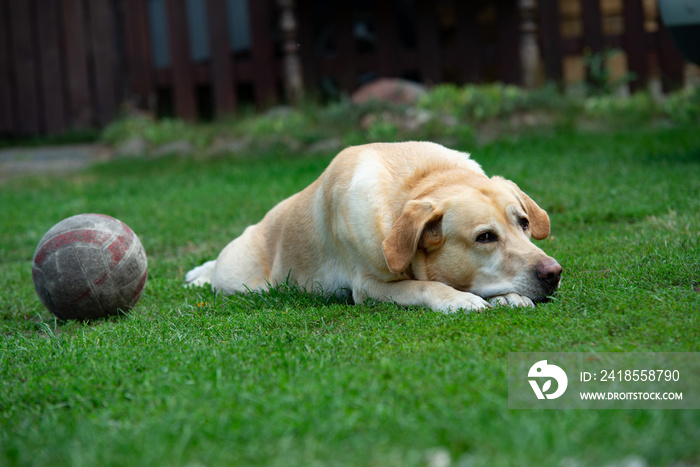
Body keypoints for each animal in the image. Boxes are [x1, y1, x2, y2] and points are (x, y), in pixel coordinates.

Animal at [185, 141, 556, 312]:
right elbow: (425, 286)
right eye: (485, 237)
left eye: (524, 223)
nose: (554, 273)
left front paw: (509, 296)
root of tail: (256, 225)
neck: (417, 182)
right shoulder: (369, 286)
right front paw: (459, 299)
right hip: (240, 281)